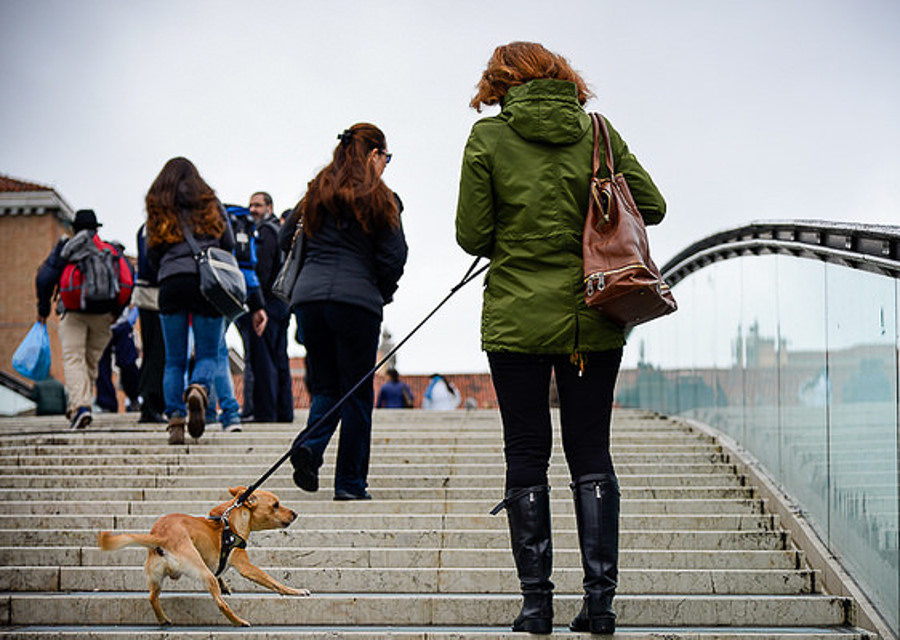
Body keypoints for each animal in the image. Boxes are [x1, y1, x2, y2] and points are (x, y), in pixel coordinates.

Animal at [97, 484, 310, 624]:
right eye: (276, 505)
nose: (296, 514)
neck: (232, 521)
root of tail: (162, 537)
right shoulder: (245, 566)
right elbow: (272, 581)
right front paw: (295, 591)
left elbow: (221, 572)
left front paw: (225, 584)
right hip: (203, 573)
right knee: (221, 604)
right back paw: (238, 621)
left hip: (156, 576)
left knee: (152, 597)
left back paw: (163, 619)